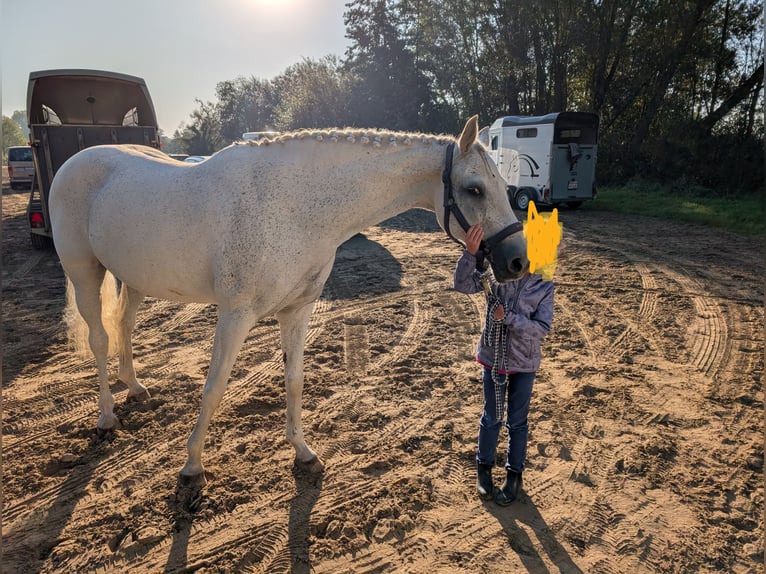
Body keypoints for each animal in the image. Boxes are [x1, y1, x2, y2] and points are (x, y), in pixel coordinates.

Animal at [49, 115, 528, 487]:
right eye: (474, 189)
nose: (518, 261)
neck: (294, 206)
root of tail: (76, 160)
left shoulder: (297, 310)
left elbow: (295, 380)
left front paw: (303, 451)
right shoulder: (235, 315)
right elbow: (214, 387)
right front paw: (191, 466)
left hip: (133, 279)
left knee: (124, 327)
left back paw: (135, 387)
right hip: (84, 272)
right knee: (98, 339)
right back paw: (107, 416)